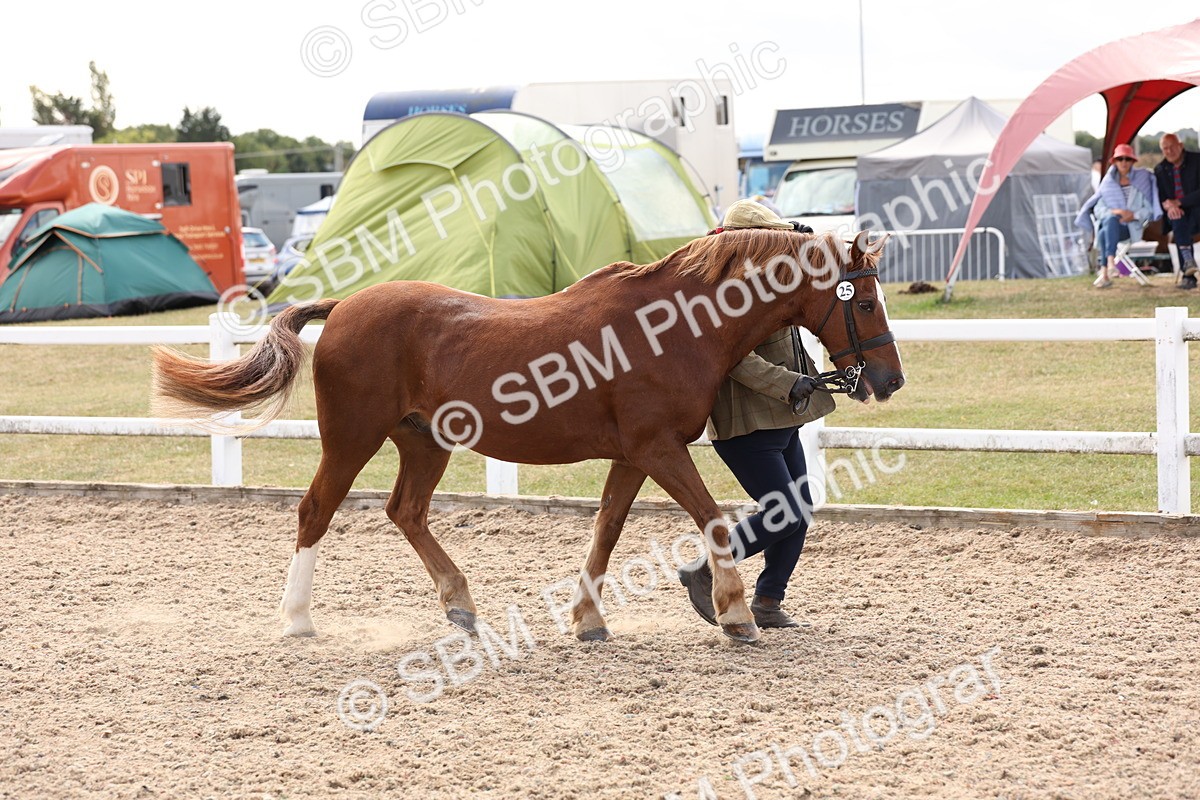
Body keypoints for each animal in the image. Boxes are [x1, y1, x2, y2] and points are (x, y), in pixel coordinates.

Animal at [152, 228, 905, 645]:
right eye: (866, 300)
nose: (888, 379)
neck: (675, 324)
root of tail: (343, 307)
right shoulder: (659, 448)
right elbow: (715, 520)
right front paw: (736, 615)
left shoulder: (635, 455)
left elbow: (605, 531)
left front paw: (588, 621)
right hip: (350, 439)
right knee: (316, 512)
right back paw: (297, 619)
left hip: (424, 442)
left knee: (406, 512)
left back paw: (460, 607)